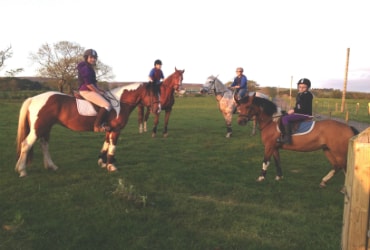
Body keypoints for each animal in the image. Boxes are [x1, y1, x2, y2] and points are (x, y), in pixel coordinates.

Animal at [15, 83, 160, 177]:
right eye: (153, 93)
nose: (158, 109)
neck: (119, 103)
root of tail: (33, 98)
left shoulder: (108, 130)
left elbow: (105, 145)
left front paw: (102, 162)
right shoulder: (116, 130)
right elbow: (112, 147)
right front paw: (111, 166)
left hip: (46, 127)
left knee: (44, 145)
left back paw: (51, 166)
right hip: (38, 128)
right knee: (26, 144)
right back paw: (22, 170)